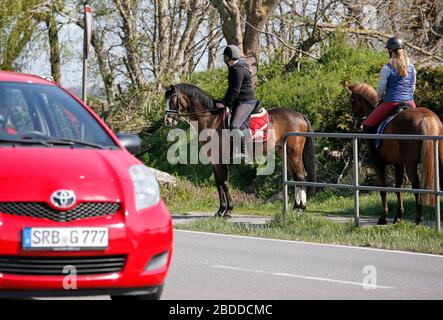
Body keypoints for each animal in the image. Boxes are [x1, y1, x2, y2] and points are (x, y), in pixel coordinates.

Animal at [165, 83, 318, 218]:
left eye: (172, 99)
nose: (167, 120)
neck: (211, 119)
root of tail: (300, 115)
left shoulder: (219, 159)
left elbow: (225, 183)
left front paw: (227, 210)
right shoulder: (214, 161)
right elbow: (219, 183)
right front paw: (221, 210)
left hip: (294, 153)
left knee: (301, 176)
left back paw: (301, 208)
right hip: (284, 152)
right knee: (296, 177)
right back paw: (296, 207)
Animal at [346, 81, 443, 224]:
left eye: (352, 100)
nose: (358, 124)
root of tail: (427, 118)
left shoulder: (379, 165)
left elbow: (383, 190)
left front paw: (383, 217)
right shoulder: (398, 164)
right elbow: (398, 188)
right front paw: (398, 216)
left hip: (411, 164)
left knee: (416, 186)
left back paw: (418, 218)